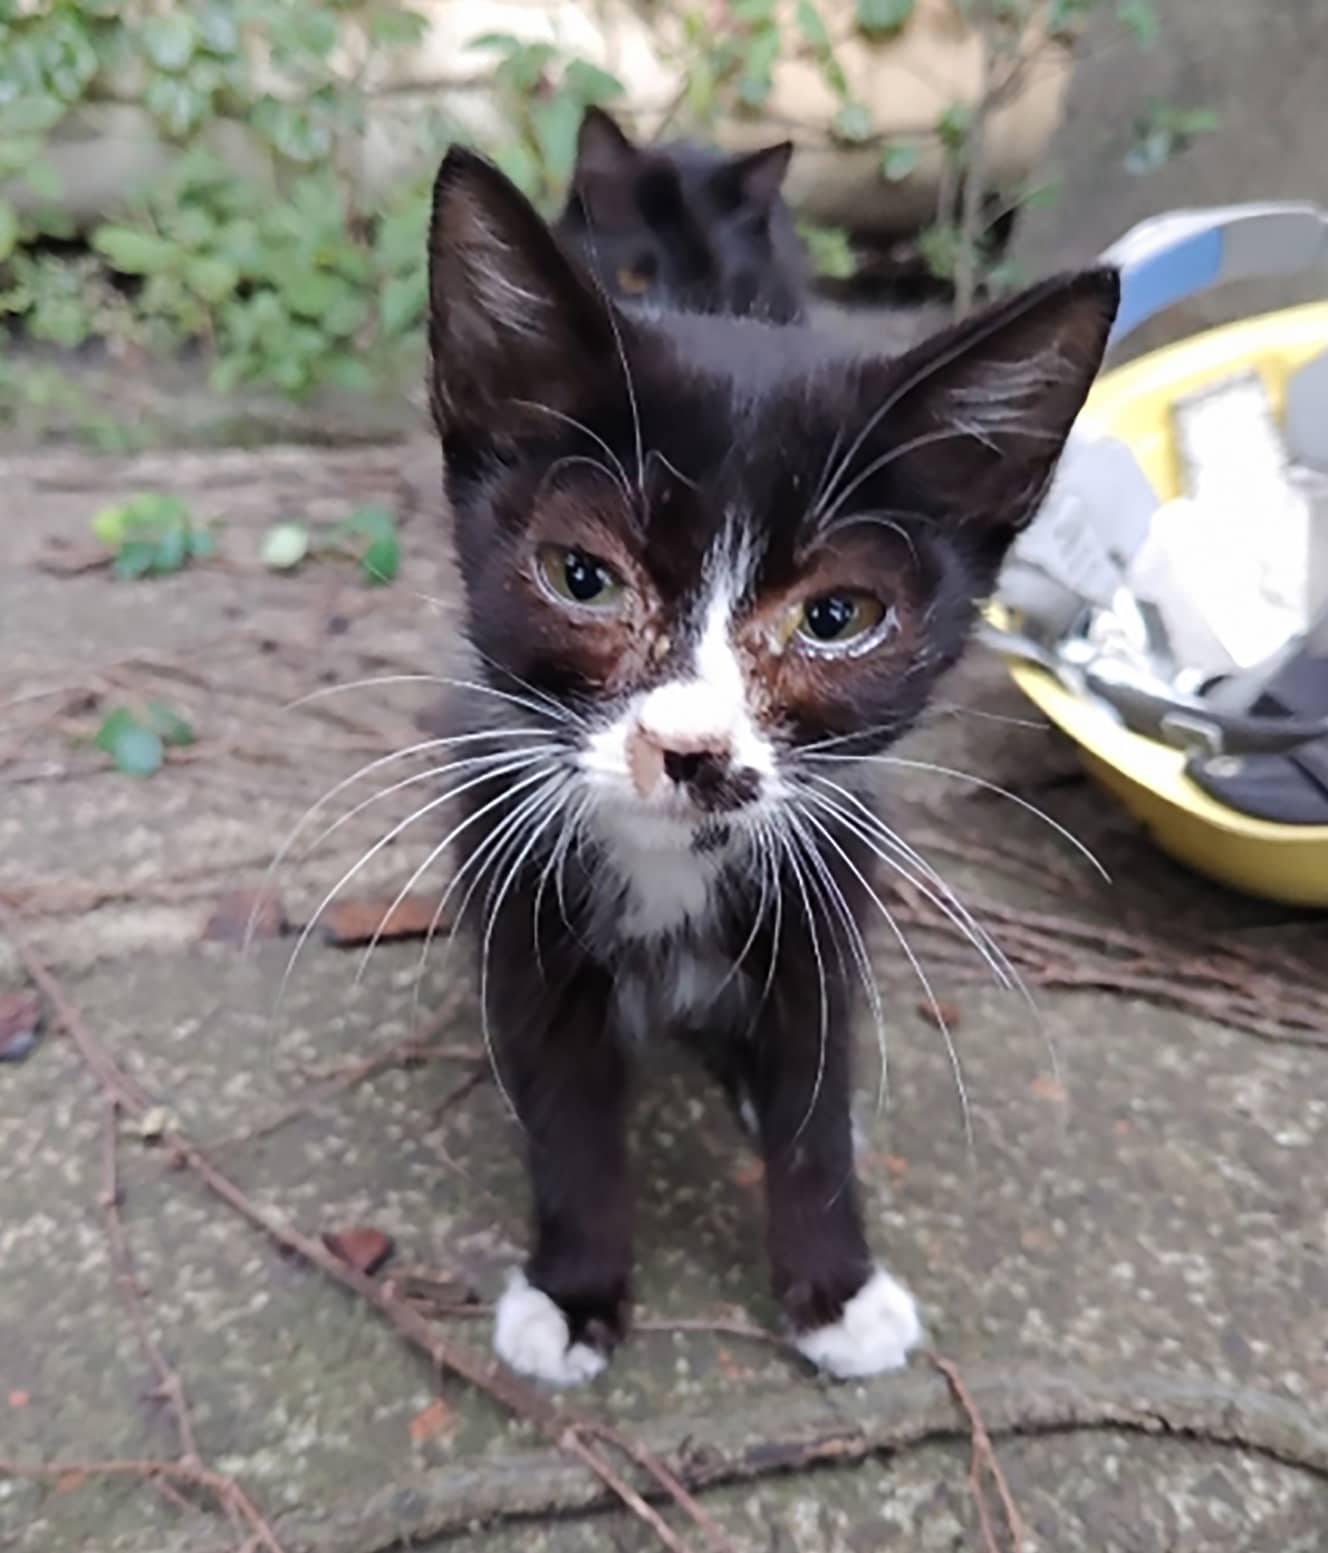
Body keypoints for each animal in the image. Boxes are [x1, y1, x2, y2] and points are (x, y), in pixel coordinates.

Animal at [422, 145, 1112, 1385]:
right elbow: (563, 1104)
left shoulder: (824, 889)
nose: (691, 749)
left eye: (835, 617)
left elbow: (814, 1088)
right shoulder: (519, 890)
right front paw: (573, 1288)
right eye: (582, 578)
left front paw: (834, 1288)